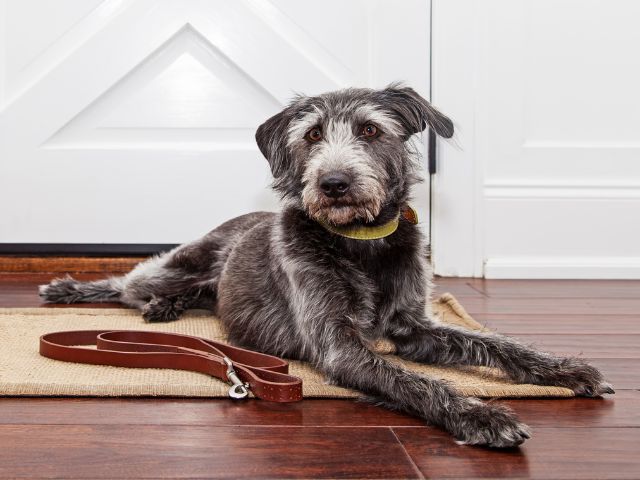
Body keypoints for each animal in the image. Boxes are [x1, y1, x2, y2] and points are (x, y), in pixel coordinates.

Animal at [41, 84, 616, 448]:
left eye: (370, 130)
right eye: (313, 135)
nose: (334, 183)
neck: (361, 242)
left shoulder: (415, 327)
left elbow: (495, 344)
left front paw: (564, 369)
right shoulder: (341, 345)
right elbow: (419, 383)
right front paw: (484, 414)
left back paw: (167, 308)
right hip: (178, 263)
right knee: (129, 282)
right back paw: (76, 291)